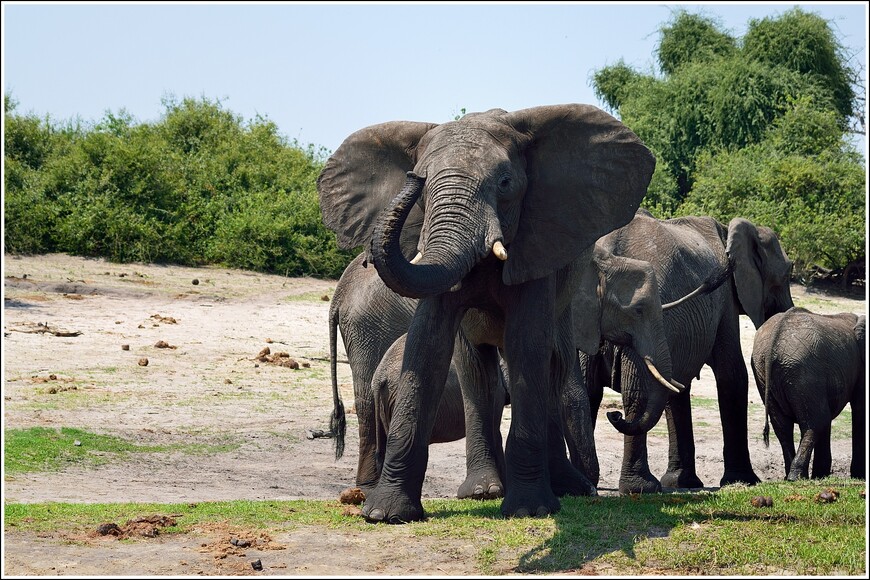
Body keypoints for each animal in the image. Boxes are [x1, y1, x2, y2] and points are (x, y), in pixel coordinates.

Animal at [318, 103, 656, 520]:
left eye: (506, 183)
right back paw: (481, 490)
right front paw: (385, 514)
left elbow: (527, 343)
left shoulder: (536, 243)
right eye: (423, 187)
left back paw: (568, 489)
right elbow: (428, 343)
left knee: (554, 364)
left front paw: (529, 510)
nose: (412, 177)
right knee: (476, 368)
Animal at [584, 208, 796, 494]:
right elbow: (732, 375)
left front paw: (682, 483)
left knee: (590, 391)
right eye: (785, 275)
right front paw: (744, 481)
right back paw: (640, 487)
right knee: (635, 394)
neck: (727, 229)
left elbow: (678, 387)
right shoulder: (726, 300)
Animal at [752, 308, 868, 480]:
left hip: (765, 373)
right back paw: (796, 477)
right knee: (816, 422)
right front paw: (859, 476)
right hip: (803, 370)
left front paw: (821, 475)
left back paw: (793, 476)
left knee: (783, 426)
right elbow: (860, 409)